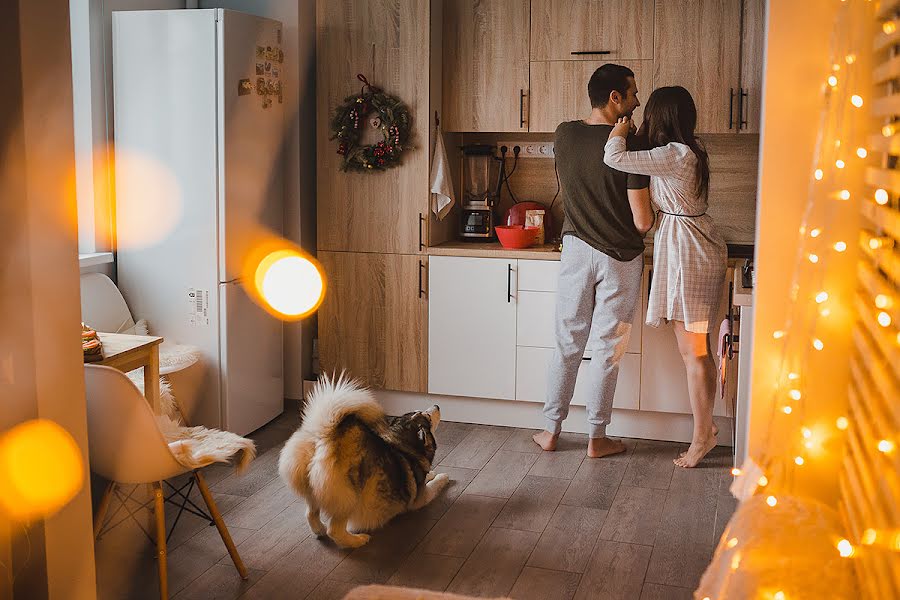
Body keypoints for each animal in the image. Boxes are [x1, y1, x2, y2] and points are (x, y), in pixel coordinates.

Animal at [278, 376, 450, 548]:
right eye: (428, 417)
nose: (437, 405)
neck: (403, 443)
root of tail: (324, 436)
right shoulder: (421, 498)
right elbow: (434, 485)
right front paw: (442, 477)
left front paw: (432, 473)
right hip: (349, 496)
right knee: (335, 530)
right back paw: (357, 540)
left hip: (313, 491)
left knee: (310, 513)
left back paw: (319, 529)